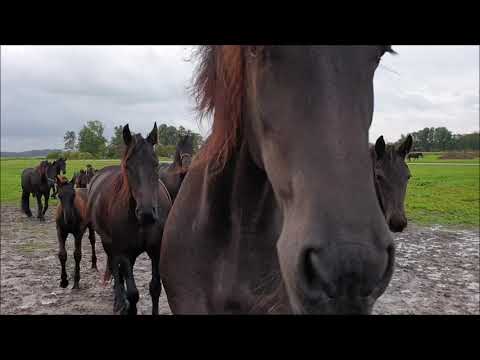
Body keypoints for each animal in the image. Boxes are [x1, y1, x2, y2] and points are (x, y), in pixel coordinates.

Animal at [88, 124, 172, 316]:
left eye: (156, 164)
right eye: (128, 165)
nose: (147, 213)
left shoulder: (156, 250)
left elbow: (155, 288)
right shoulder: (124, 252)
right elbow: (133, 292)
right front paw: (126, 304)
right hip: (110, 245)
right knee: (116, 271)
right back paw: (119, 302)